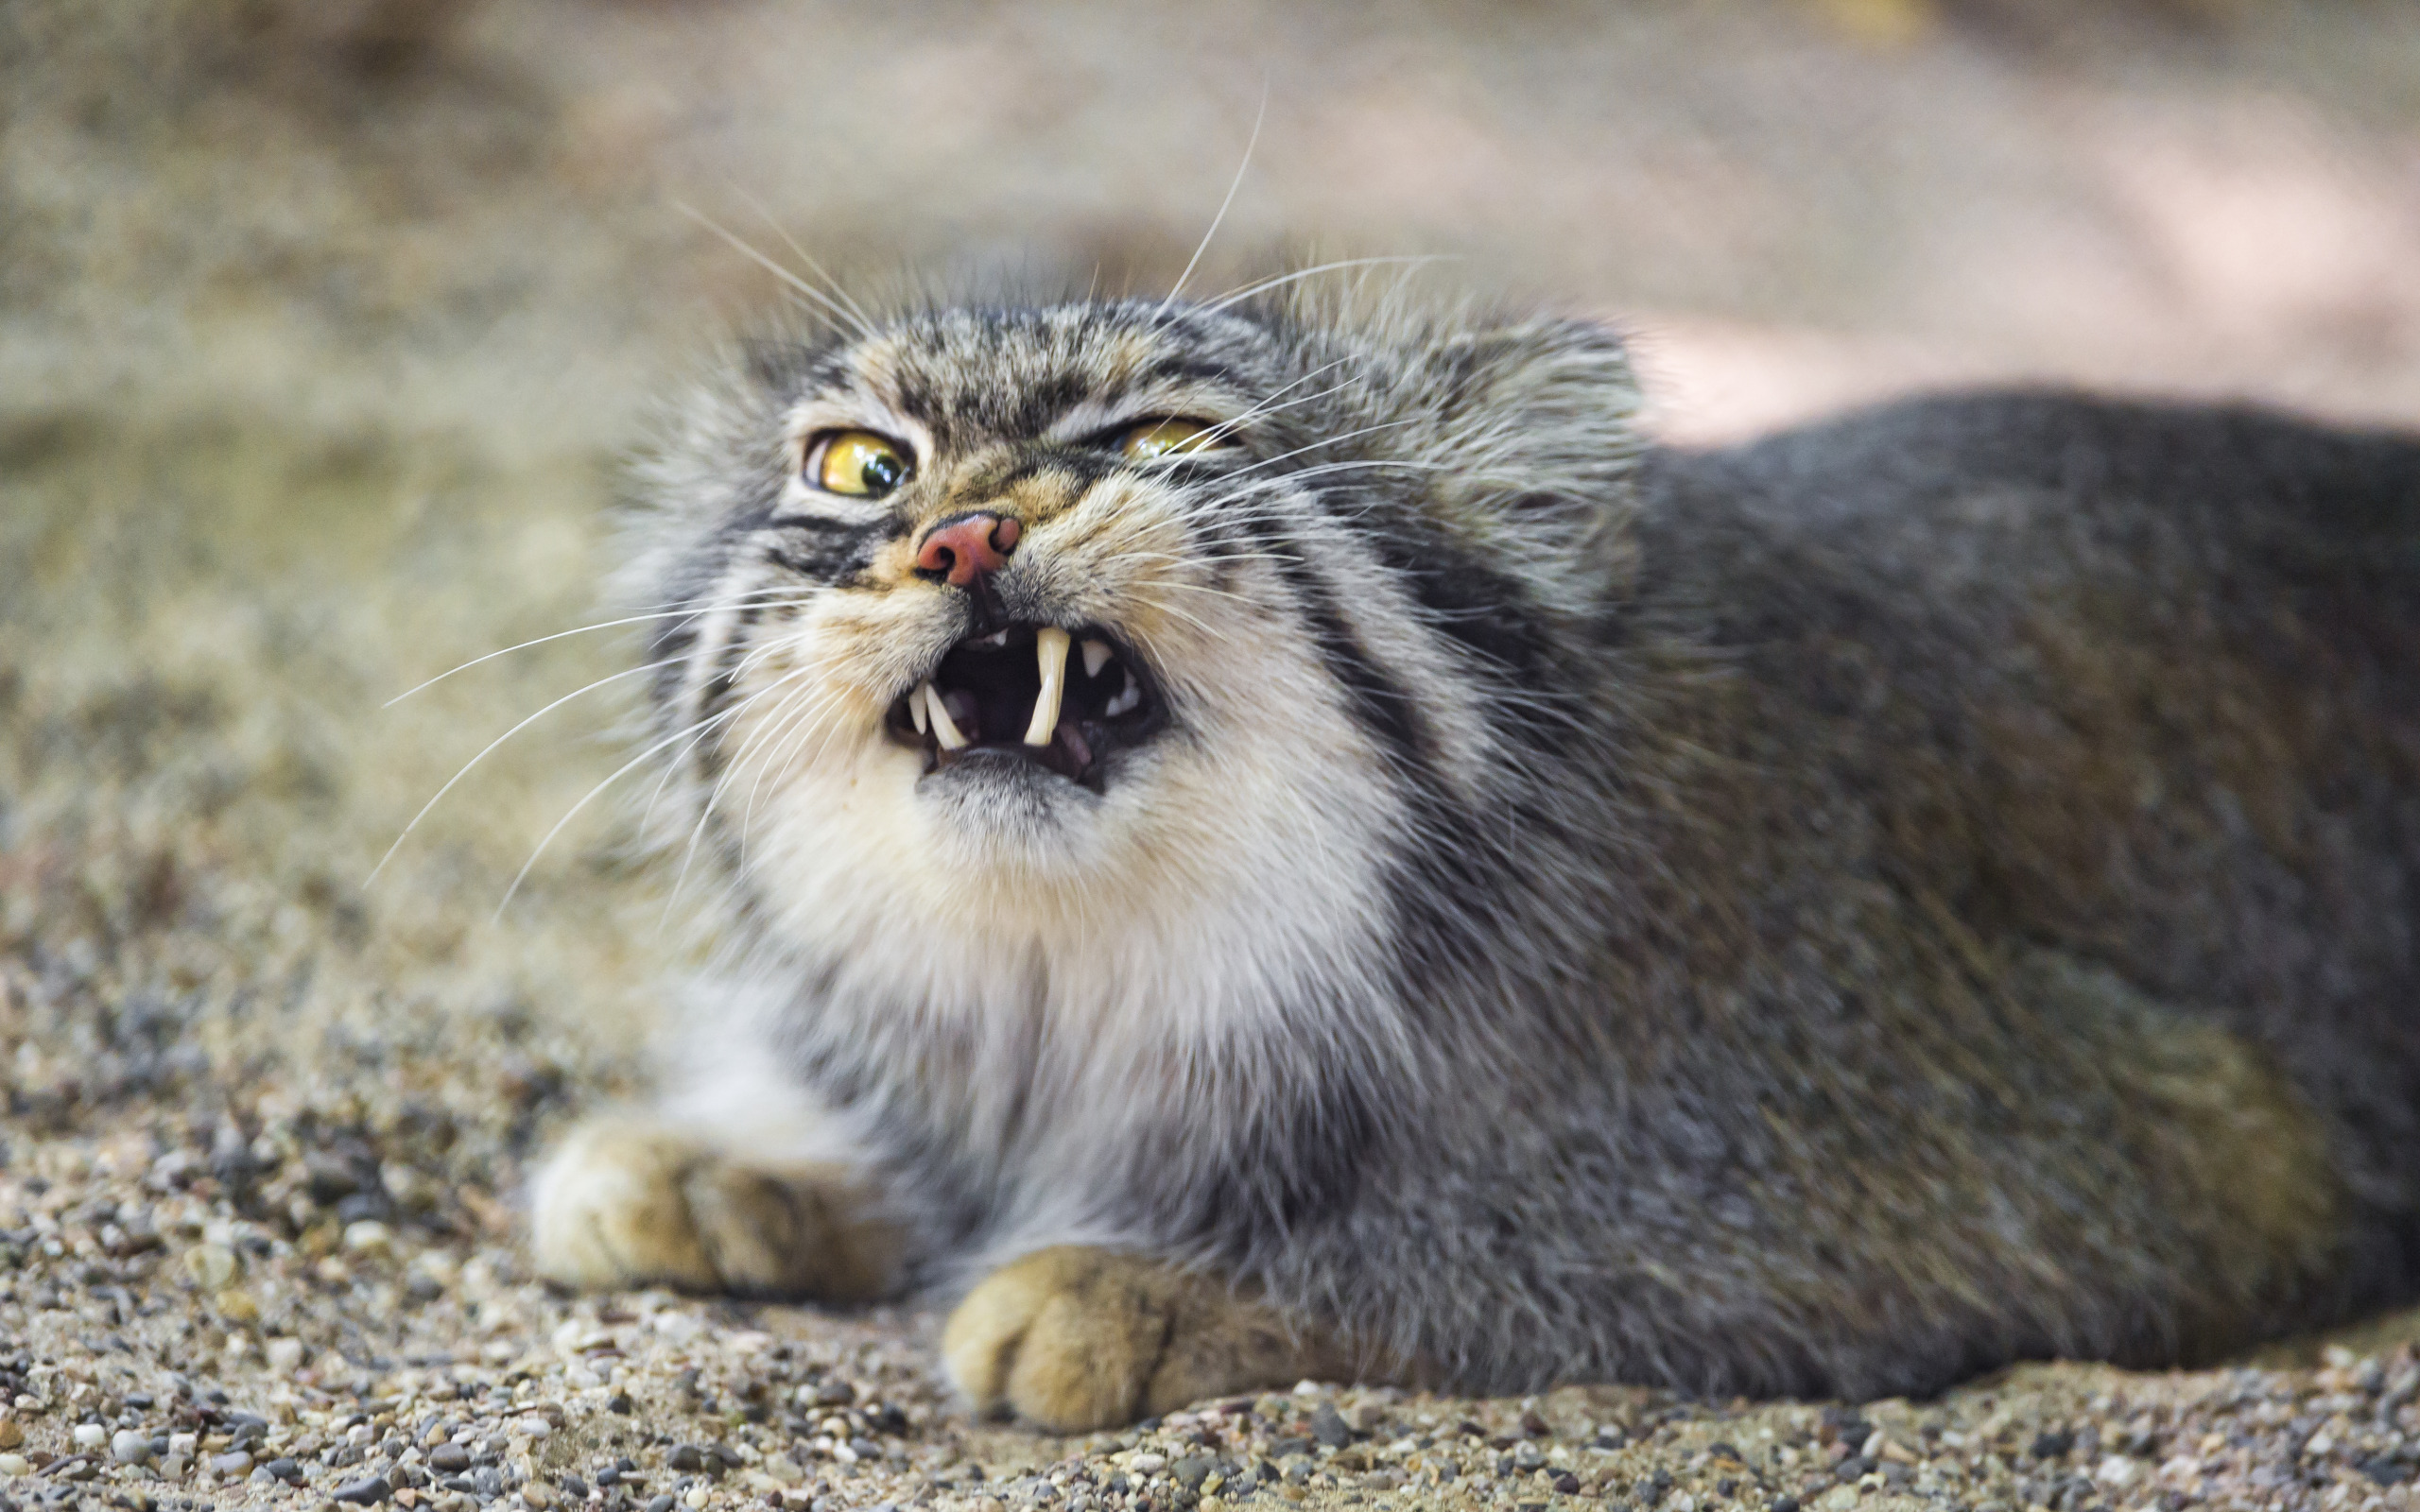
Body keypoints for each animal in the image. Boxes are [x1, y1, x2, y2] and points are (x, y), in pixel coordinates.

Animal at [539, 280, 2420, 1422]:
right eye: (864, 467)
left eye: (1161, 441)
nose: (961, 535)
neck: (1090, 991)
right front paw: (740, 1160)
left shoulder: (2150, 1144)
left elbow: (1537, 1242)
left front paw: (1144, 1286)